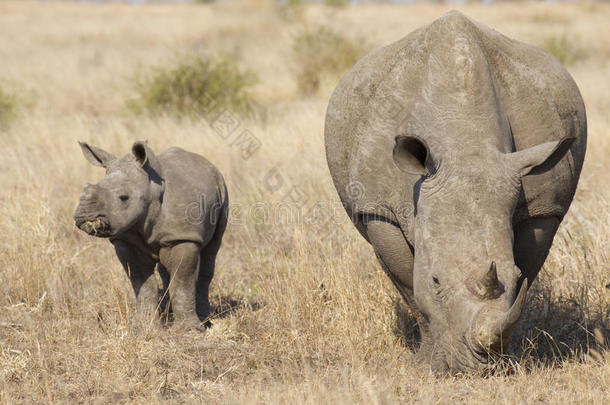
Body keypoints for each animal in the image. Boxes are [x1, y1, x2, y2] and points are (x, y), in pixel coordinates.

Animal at [324, 11, 584, 372]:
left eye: (514, 275)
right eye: (435, 281)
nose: (475, 368)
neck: (466, 143)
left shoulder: (544, 205)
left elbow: (527, 272)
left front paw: (508, 356)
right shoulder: (378, 209)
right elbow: (409, 285)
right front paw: (427, 362)